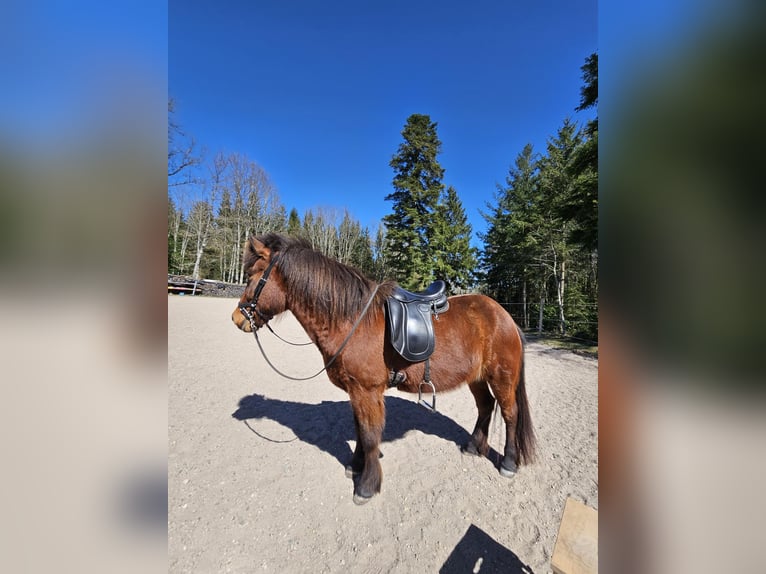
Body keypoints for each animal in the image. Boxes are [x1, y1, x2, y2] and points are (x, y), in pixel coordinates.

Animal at [231, 233, 535, 505]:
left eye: (253, 276)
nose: (237, 318)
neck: (351, 319)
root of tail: (504, 315)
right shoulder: (356, 391)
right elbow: (359, 429)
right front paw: (355, 466)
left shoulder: (367, 391)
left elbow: (369, 435)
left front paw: (366, 485)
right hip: (477, 377)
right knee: (485, 407)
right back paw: (473, 447)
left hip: (502, 376)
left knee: (509, 413)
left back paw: (509, 462)